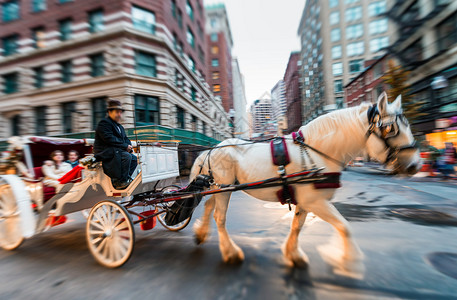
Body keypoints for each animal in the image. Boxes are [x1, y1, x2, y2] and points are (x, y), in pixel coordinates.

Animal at [189, 92, 420, 276]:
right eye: (391, 128)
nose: (416, 164)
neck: (318, 152)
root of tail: (212, 149)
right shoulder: (316, 202)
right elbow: (344, 227)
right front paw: (349, 262)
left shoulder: (306, 201)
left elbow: (297, 226)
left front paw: (293, 255)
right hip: (224, 188)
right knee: (219, 217)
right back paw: (231, 252)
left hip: (219, 188)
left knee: (208, 206)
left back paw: (201, 233)